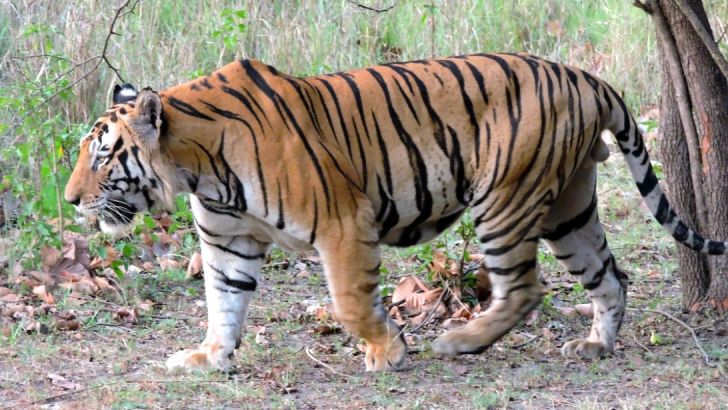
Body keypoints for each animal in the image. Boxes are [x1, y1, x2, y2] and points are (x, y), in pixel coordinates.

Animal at [64, 53, 728, 373]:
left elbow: (351, 302)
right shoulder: (228, 242)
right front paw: (208, 357)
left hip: (505, 199)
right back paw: (594, 347)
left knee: (525, 288)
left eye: (101, 156)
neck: (199, 168)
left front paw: (389, 352)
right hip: (569, 207)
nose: (69, 201)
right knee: (611, 277)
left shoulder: (342, 224)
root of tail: (588, 77)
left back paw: (460, 342)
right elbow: (223, 304)